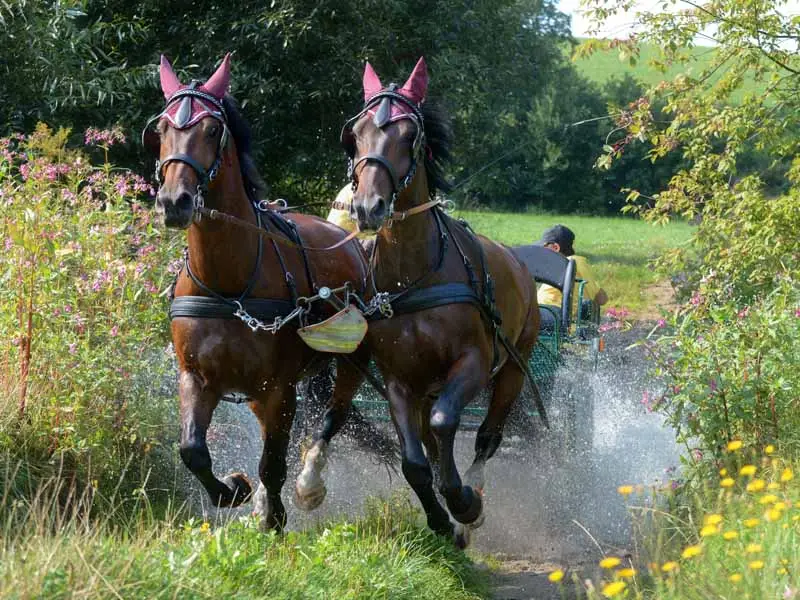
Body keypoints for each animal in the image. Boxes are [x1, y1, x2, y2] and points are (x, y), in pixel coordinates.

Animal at [148, 54, 378, 530]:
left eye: (211, 130)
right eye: (161, 128)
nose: (174, 202)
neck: (228, 284)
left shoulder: (279, 388)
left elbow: (272, 464)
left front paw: (271, 519)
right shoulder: (197, 377)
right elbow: (193, 451)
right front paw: (235, 490)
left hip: (352, 360)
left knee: (333, 416)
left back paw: (308, 485)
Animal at [338, 57, 543, 546]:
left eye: (409, 135)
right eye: (356, 132)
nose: (368, 207)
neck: (414, 274)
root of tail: (517, 260)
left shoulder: (472, 363)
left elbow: (446, 423)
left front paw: (463, 504)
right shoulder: (399, 381)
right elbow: (415, 460)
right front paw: (439, 520)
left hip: (513, 368)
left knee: (488, 436)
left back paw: (474, 496)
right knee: (433, 446)